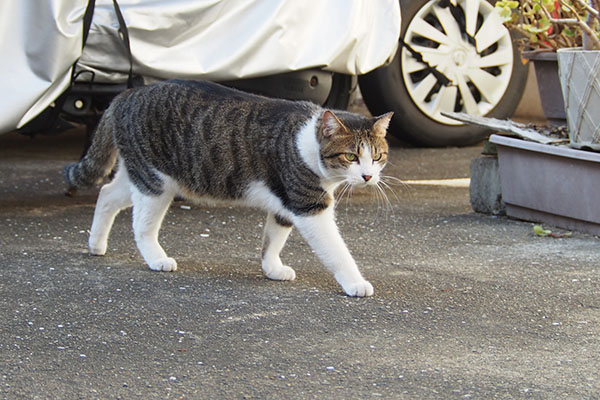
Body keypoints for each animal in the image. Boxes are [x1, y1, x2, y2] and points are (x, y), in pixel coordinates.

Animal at [64, 79, 394, 296]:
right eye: (351, 156)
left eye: (377, 157)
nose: (368, 177)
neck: (308, 143)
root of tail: (128, 94)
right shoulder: (308, 205)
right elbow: (336, 250)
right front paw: (355, 283)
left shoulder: (285, 203)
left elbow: (272, 240)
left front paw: (272, 269)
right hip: (156, 183)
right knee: (141, 226)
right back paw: (156, 258)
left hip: (138, 174)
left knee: (107, 194)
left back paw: (96, 244)